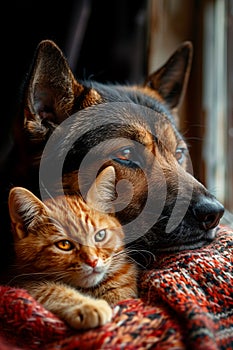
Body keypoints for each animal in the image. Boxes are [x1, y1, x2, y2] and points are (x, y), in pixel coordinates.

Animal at [8, 167, 137, 330]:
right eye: (64, 245)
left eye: (100, 235)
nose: (93, 261)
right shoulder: (21, 281)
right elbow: (50, 290)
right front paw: (89, 306)